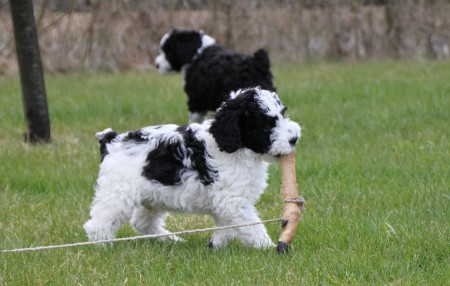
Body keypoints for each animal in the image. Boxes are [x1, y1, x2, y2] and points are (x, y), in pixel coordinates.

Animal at [84, 87, 302, 250]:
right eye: (266, 126)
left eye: (283, 114)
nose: (294, 139)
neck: (238, 148)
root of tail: (112, 139)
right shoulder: (233, 201)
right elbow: (251, 224)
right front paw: (267, 246)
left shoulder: (227, 203)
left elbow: (228, 225)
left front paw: (216, 243)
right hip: (118, 193)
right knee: (98, 223)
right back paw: (103, 246)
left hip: (152, 195)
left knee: (142, 223)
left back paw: (171, 240)